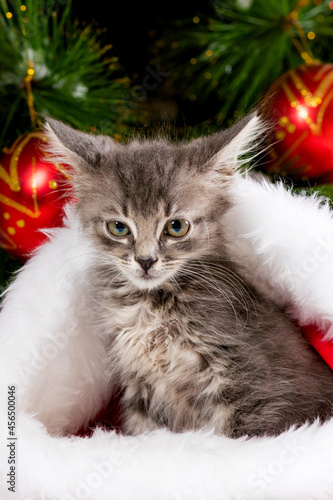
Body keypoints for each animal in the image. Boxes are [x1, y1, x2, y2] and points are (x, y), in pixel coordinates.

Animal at [46, 114, 332, 438]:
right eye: (118, 228)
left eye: (176, 227)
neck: (153, 309)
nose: (145, 261)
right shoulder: (141, 387)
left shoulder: (250, 381)